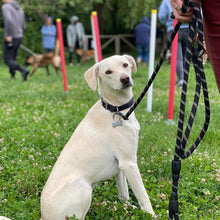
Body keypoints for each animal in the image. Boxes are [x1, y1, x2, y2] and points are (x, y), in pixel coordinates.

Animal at [40, 55, 155, 220]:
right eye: (108, 72)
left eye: (125, 65)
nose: (125, 79)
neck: (116, 109)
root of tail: (43, 216)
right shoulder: (129, 163)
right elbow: (144, 197)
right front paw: (152, 215)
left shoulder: (120, 166)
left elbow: (124, 195)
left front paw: (128, 208)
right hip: (81, 185)